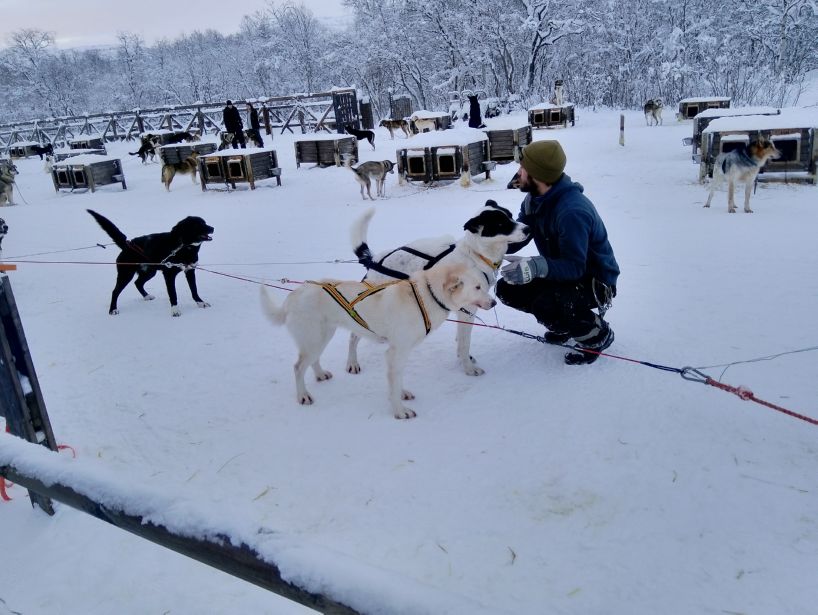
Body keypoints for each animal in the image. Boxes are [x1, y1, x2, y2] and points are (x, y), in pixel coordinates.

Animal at [86, 211, 214, 318]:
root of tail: (128, 245)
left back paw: (146, 296)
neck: (184, 247)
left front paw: (200, 302)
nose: (212, 228)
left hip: (149, 272)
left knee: (137, 283)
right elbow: (173, 294)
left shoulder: (190, 271)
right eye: (197, 225)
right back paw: (113, 309)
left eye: (204, 222)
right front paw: (175, 310)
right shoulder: (169, 275)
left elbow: (194, 290)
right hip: (126, 274)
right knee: (115, 291)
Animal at [260, 262, 490, 422]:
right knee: (298, 367)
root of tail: (294, 295)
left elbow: (397, 380)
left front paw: (402, 394)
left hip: (322, 336)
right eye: (478, 287)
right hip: (314, 339)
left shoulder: (399, 352)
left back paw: (320, 374)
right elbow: (394, 383)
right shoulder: (397, 352)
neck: (426, 297)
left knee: (313, 361)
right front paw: (400, 412)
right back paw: (303, 396)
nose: (494, 302)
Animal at [346, 201, 524, 376]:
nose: (527, 229)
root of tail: (373, 261)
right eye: (501, 223)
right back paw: (352, 362)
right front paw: (468, 368)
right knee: (354, 335)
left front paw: (464, 359)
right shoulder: (467, 310)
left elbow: (461, 340)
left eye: (511, 216)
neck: (475, 255)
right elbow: (464, 343)